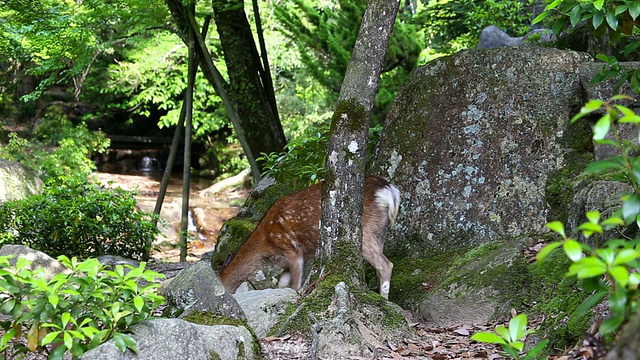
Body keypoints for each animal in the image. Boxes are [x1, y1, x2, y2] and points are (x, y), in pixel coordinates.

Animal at [220, 176, 400, 300]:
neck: (266, 246)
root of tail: (389, 191)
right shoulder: (285, 263)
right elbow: (281, 284)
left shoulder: (293, 251)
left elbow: (295, 286)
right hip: (380, 232)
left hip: (363, 232)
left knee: (386, 265)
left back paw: (384, 300)